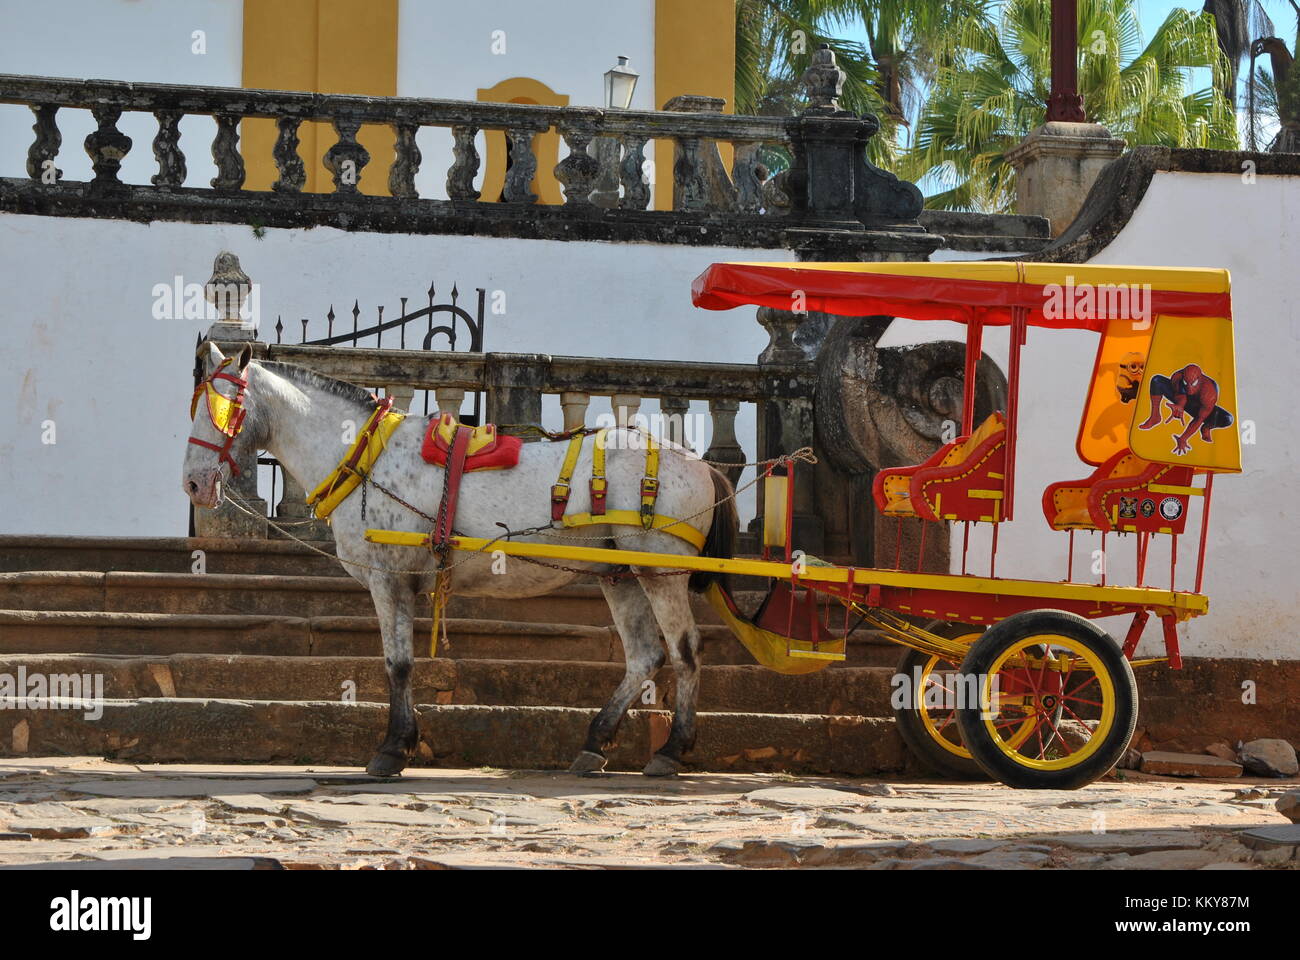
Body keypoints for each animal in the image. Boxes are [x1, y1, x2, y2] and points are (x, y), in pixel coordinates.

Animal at [182, 342, 738, 778]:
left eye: (224, 406)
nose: (193, 483)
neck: (367, 457)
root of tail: (702, 465)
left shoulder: (389, 576)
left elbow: (398, 663)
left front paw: (392, 749)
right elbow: (400, 662)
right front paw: (402, 743)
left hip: (661, 568)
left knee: (686, 649)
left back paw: (672, 749)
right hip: (619, 573)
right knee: (644, 654)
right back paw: (594, 742)